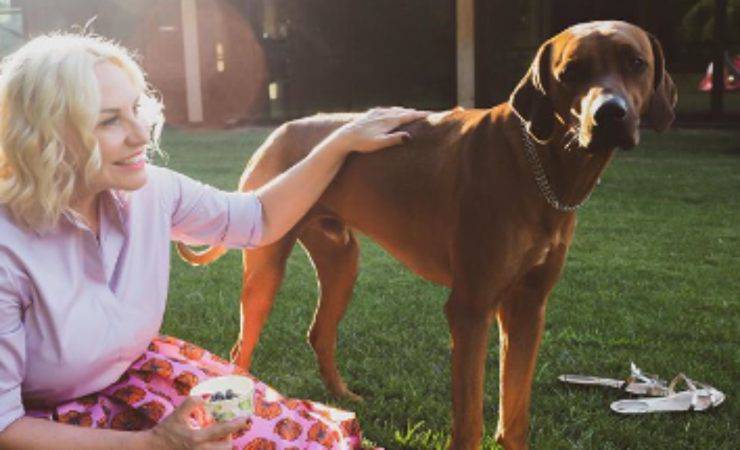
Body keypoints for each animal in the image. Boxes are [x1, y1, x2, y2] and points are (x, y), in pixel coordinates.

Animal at [178, 21, 676, 450]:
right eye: (571, 72)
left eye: (635, 62)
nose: (609, 114)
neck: (543, 166)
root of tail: (278, 130)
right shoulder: (471, 308)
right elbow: (469, 418)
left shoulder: (528, 309)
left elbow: (514, 411)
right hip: (266, 266)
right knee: (240, 347)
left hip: (342, 260)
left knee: (319, 332)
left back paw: (343, 398)